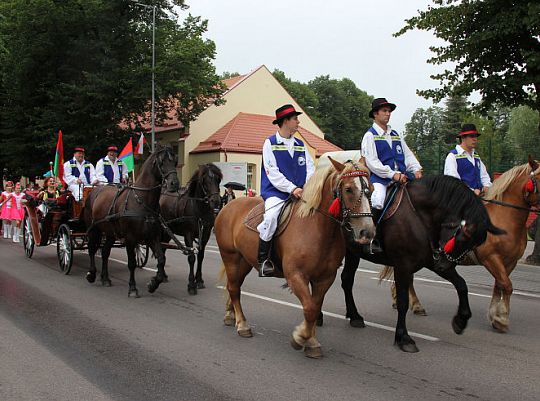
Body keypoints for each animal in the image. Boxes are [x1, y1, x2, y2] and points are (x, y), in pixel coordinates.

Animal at [83, 142, 179, 296]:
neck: (142, 201)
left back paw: (105, 278)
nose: (174, 184)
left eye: (175, 161)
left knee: (105, 252)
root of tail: (95, 190)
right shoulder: (130, 238)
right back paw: (91, 274)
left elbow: (161, 259)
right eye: (161, 161)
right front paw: (133, 288)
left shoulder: (152, 237)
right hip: (94, 229)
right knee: (92, 249)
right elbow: (132, 263)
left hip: (110, 232)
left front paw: (153, 283)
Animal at [159, 162, 223, 294]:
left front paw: (199, 280)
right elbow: (192, 257)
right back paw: (161, 274)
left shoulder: (205, 234)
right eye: (204, 181)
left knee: (163, 248)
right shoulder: (188, 234)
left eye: (218, 179)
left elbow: (201, 256)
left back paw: (163, 275)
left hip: (167, 231)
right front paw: (191, 284)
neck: (199, 209)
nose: (216, 201)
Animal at [215, 158, 376, 358]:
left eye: (372, 188)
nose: (367, 233)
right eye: (348, 189)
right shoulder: (296, 276)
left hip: (245, 261)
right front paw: (300, 337)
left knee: (234, 286)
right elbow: (310, 308)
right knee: (234, 289)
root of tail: (228, 207)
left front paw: (311, 341)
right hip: (230, 257)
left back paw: (231, 315)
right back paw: (242, 325)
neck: (318, 228)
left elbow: (315, 307)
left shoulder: (325, 278)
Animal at [320, 175, 502, 350]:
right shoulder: (403, 265)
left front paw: (461, 320)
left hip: (352, 253)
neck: (421, 216)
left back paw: (354, 316)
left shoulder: (432, 262)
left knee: (346, 280)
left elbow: (462, 285)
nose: (445, 264)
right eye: (464, 237)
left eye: (476, 243)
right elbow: (403, 301)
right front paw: (403, 337)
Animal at [384, 156, 540, 332]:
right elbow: (506, 285)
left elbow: (500, 286)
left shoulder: (509, 262)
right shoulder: (491, 258)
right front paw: (502, 318)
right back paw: (413, 304)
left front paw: (496, 315)